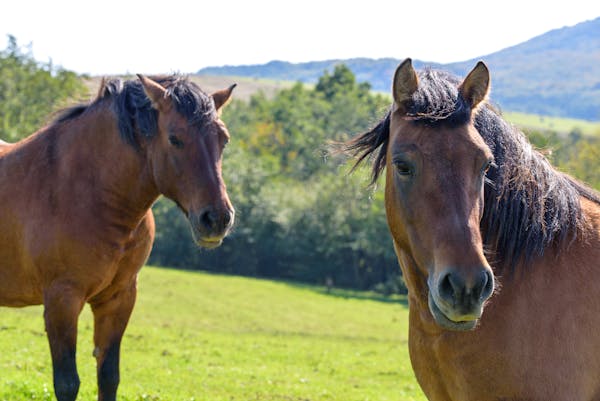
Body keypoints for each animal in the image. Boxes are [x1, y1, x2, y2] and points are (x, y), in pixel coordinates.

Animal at [0, 75, 239, 400]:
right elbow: (67, 383)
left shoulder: (119, 299)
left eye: (223, 139)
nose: (217, 219)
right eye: (175, 138)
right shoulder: (62, 300)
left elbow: (108, 376)